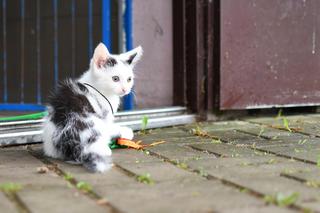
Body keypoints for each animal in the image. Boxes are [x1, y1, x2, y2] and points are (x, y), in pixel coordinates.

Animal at [42, 42, 142, 172]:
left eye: (129, 79)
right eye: (115, 79)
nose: (125, 89)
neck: (98, 87)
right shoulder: (104, 114)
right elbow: (110, 127)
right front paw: (125, 131)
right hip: (92, 121)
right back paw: (105, 149)